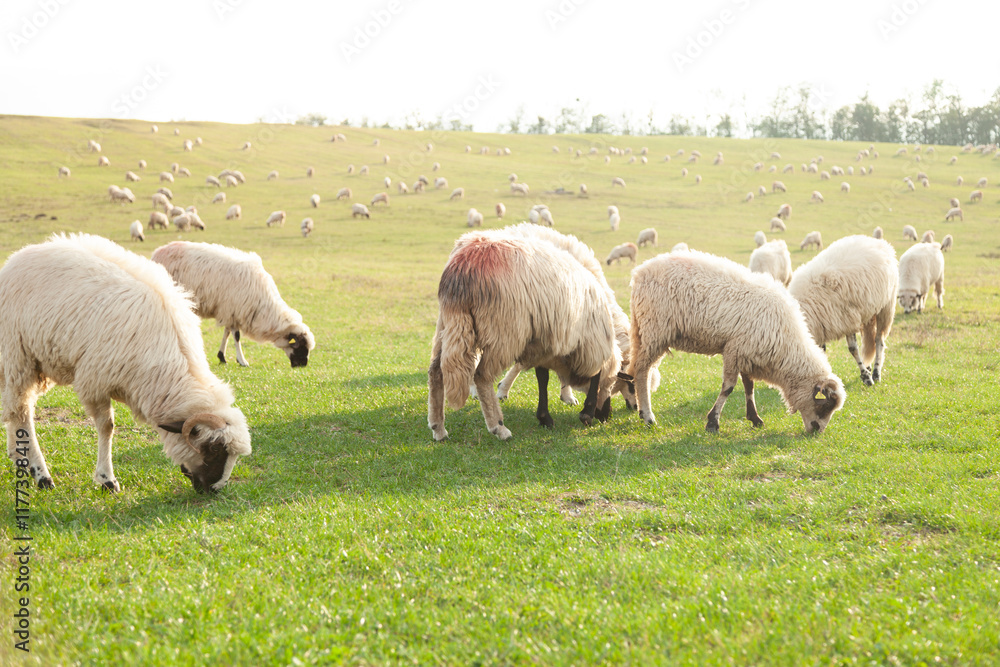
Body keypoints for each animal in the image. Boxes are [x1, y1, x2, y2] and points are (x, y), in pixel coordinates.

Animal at [0, 233, 252, 492]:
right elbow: (107, 427)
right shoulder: (95, 380)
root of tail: (15, 259)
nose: (214, 490)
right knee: (22, 413)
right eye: (214, 448)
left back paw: (19, 457)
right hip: (17, 358)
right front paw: (107, 479)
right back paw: (42, 475)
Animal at [151, 241, 315, 369]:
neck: (265, 308)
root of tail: (158, 252)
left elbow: (227, 333)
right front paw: (242, 361)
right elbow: (236, 336)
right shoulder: (235, 308)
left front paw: (222, 357)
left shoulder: (230, 311)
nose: (303, 365)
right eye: (301, 347)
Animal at [427, 229, 620, 441]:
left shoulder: (545, 343)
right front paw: (587, 413)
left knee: (436, 371)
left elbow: (542, 377)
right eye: (614, 385)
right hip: (504, 332)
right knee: (482, 376)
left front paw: (545, 417)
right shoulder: (590, 345)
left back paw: (438, 428)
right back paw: (499, 427)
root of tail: (463, 267)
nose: (607, 416)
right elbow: (595, 375)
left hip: (448, 324)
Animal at [625, 250, 845, 433]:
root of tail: (639, 272)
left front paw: (754, 418)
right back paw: (648, 416)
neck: (786, 345)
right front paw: (712, 422)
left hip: (644, 331)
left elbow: (749, 386)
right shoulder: (733, 349)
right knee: (642, 371)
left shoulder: (747, 351)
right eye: (825, 406)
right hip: (655, 330)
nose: (817, 431)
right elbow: (729, 387)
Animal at [788, 235, 898, 386]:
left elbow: (853, 349)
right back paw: (869, 367)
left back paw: (876, 373)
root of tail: (879, 242)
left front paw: (866, 377)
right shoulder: (823, 325)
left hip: (886, 306)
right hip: (868, 312)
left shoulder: (847, 319)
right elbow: (823, 350)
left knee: (879, 340)